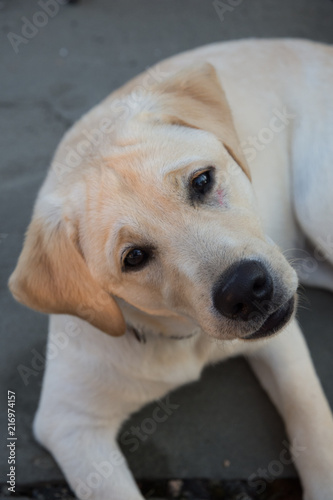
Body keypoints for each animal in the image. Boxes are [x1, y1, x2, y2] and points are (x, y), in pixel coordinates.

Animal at [7, 39, 332, 500]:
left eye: (202, 181)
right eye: (134, 258)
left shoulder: (282, 342)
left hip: (316, 210)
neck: (185, 338)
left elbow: (312, 420)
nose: (246, 290)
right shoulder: (69, 423)